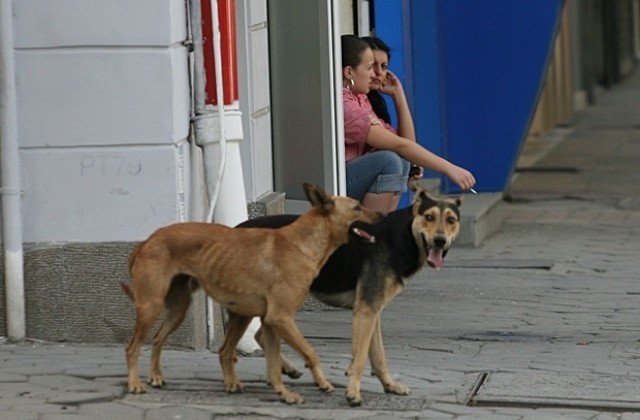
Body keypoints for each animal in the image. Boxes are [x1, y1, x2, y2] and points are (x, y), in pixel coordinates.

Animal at [120, 183, 380, 404]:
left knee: (161, 340)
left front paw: (284, 393)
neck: (303, 243)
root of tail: (146, 242)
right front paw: (322, 383)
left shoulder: (270, 322)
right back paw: (134, 384)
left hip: (184, 310)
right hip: (151, 305)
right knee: (132, 347)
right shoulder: (281, 318)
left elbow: (274, 366)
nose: (382, 215)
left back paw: (157, 376)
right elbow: (310, 352)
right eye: (357, 206)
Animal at [238, 185, 462, 406]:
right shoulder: (365, 311)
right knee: (261, 333)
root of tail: (237, 227)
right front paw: (353, 392)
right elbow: (361, 357)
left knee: (260, 334)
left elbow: (378, 356)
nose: (440, 241)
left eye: (451, 220)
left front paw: (389, 385)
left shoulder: (373, 311)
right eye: (429, 217)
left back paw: (287, 368)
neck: (404, 235)